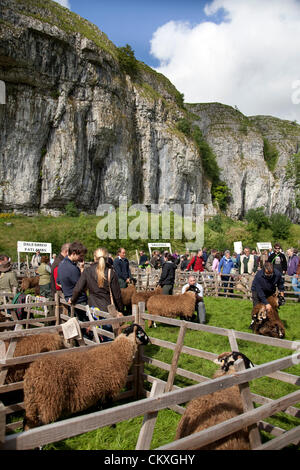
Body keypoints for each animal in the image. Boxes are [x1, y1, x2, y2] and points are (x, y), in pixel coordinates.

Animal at [22, 324, 150, 430]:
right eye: (141, 332)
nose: (149, 340)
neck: (117, 352)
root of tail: (32, 374)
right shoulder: (109, 389)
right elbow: (108, 409)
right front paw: (112, 426)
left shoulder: (101, 390)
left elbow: (101, 408)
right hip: (48, 403)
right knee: (41, 424)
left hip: (32, 403)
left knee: (28, 422)